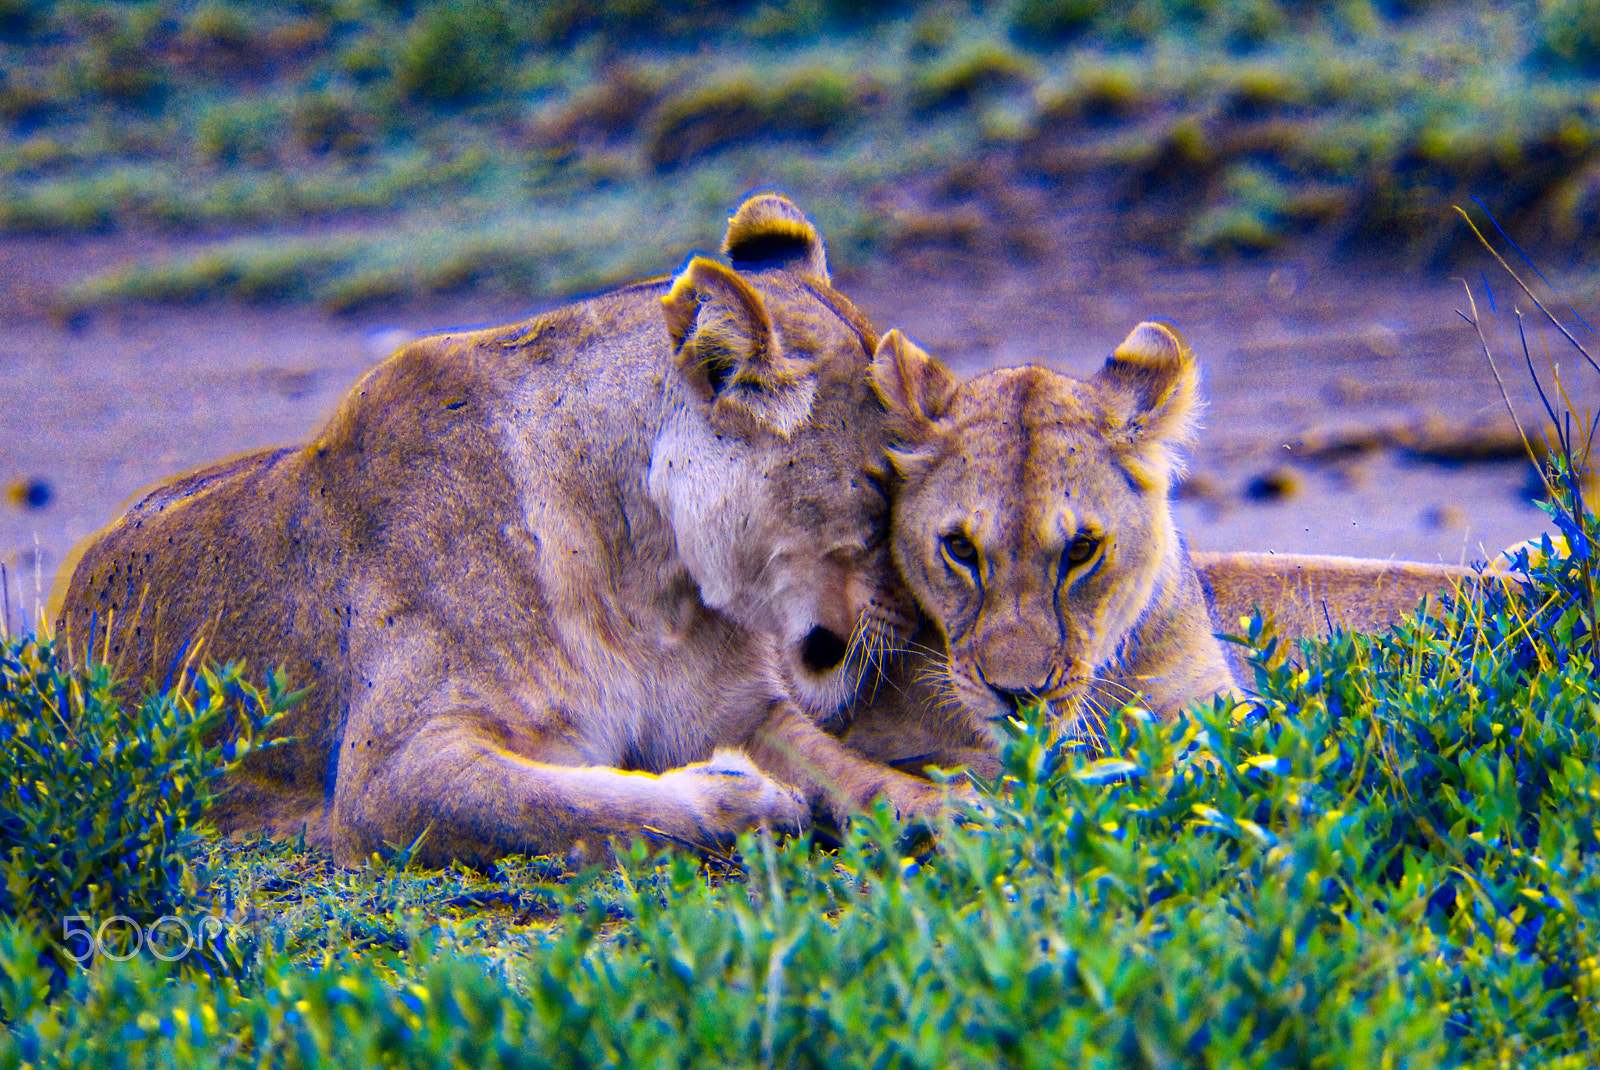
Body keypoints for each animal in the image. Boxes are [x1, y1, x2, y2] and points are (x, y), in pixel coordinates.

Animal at [50, 192, 957, 868]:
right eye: (883, 486)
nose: (925, 628)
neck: (647, 578)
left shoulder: (737, 709)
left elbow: (858, 776)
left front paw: (957, 811)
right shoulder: (388, 776)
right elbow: (570, 805)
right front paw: (741, 798)